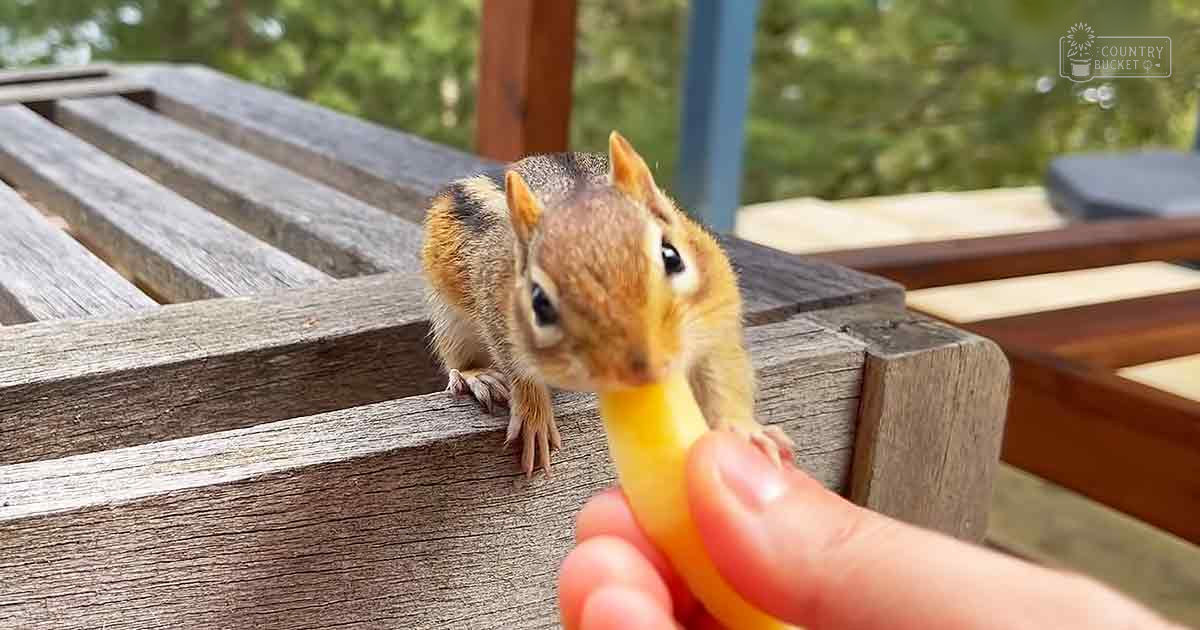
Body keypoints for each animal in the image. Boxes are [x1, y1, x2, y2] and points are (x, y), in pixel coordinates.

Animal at [421, 131, 793, 476]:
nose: (642, 369)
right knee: (457, 354)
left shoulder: (717, 315)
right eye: (539, 301)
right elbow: (520, 370)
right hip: (450, 319)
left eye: (671, 256)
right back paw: (477, 376)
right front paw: (534, 416)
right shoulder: (500, 314)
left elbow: (722, 373)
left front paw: (744, 430)